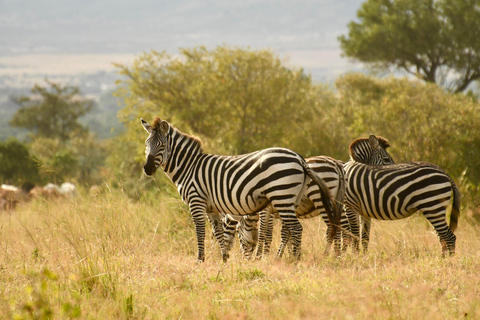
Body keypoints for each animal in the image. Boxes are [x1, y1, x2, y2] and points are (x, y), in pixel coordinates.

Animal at [141, 116, 340, 262]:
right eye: (146, 144)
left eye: (162, 145)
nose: (147, 169)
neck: (189, 167)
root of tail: (300, 158)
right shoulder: (212, 208)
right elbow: (218, 234)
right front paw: (224, 259)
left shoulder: (196, 201)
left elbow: (200, 231)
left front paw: (200, 260)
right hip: (292, 199)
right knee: (293, 229)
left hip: (282, 196)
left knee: (297, 228)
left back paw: (296, 261)